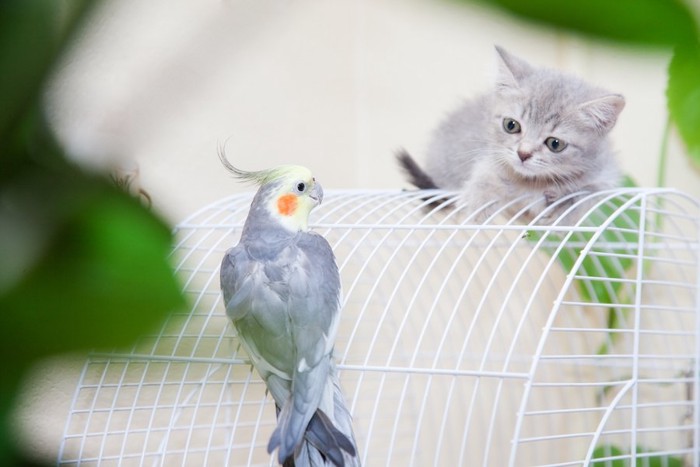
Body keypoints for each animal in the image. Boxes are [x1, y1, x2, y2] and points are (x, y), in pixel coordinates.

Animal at [396, 45, 628, 223]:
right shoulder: (491, 156)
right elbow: (487, 175)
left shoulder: (605, 173)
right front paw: (479, 201)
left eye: (555, 144)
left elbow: (588, 193)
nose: (523, 154)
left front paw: (564, 206)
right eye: (511, 125)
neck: (532, 182)